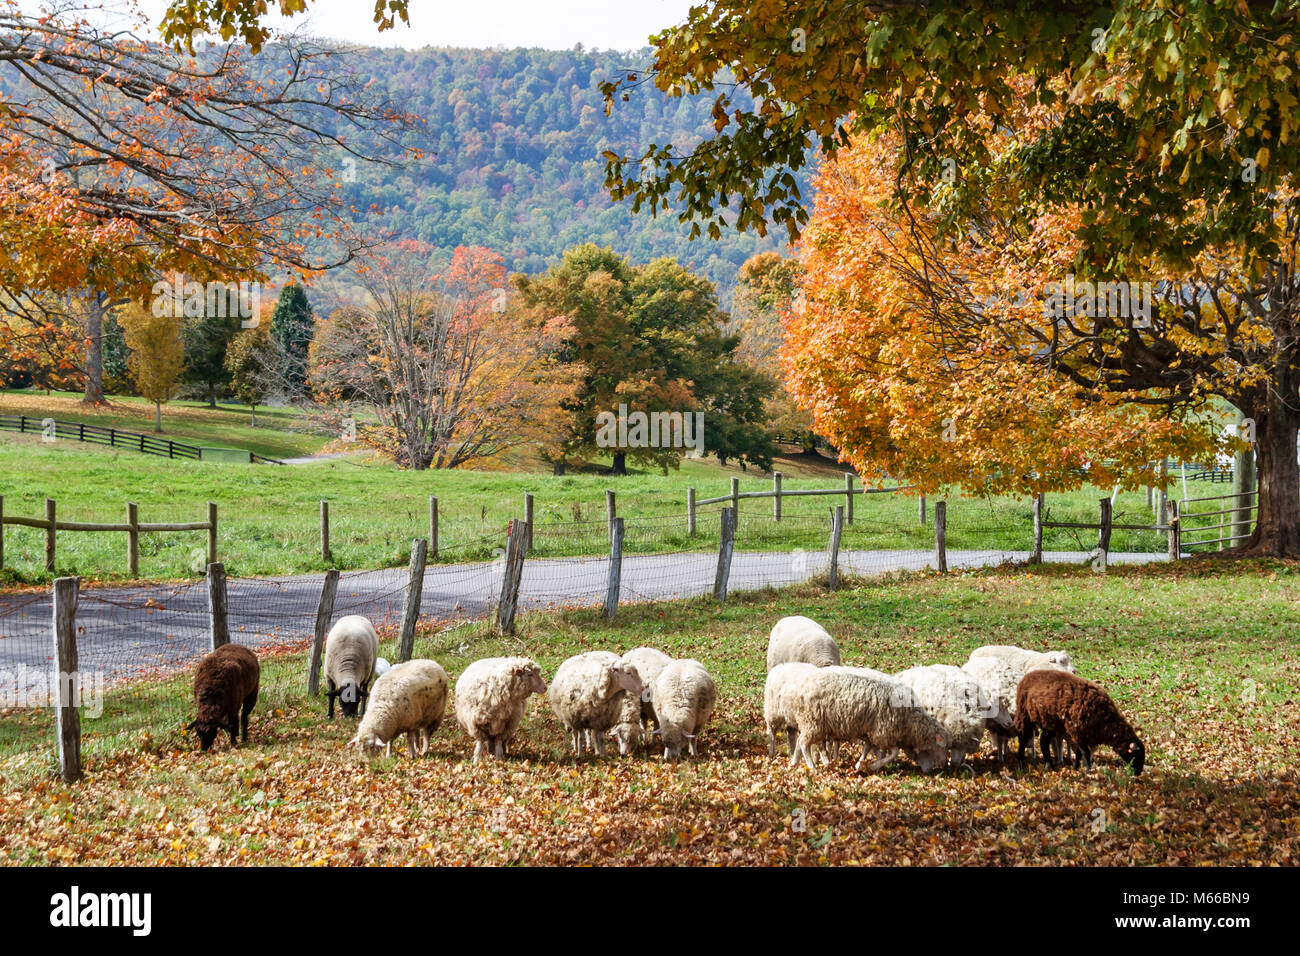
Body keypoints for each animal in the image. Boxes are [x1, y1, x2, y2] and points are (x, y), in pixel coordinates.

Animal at [785, 671, 951, 775]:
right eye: (941, 746)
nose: (944, 764)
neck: (910, 720)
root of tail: (798, 691)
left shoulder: (871, 731)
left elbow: (869, 748)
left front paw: (861, 765)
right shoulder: (883, 731)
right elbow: (893, 752)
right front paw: (873, 766)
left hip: (814, 724)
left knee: (800, 742)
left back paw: (793, 763)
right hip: (813, 722)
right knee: (803, 743)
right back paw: (812, 767)